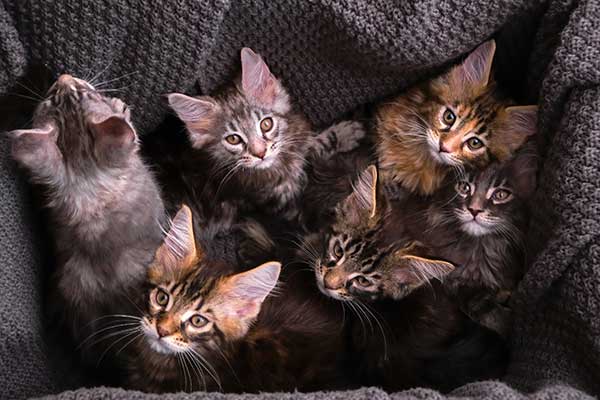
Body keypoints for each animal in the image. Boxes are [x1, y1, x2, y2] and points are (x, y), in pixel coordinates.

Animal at [165, 48, 366, 220]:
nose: (260, 153)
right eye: (233, 139)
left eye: (266, 124)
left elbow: (308, 145)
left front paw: (342, 134)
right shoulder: (279, 204)